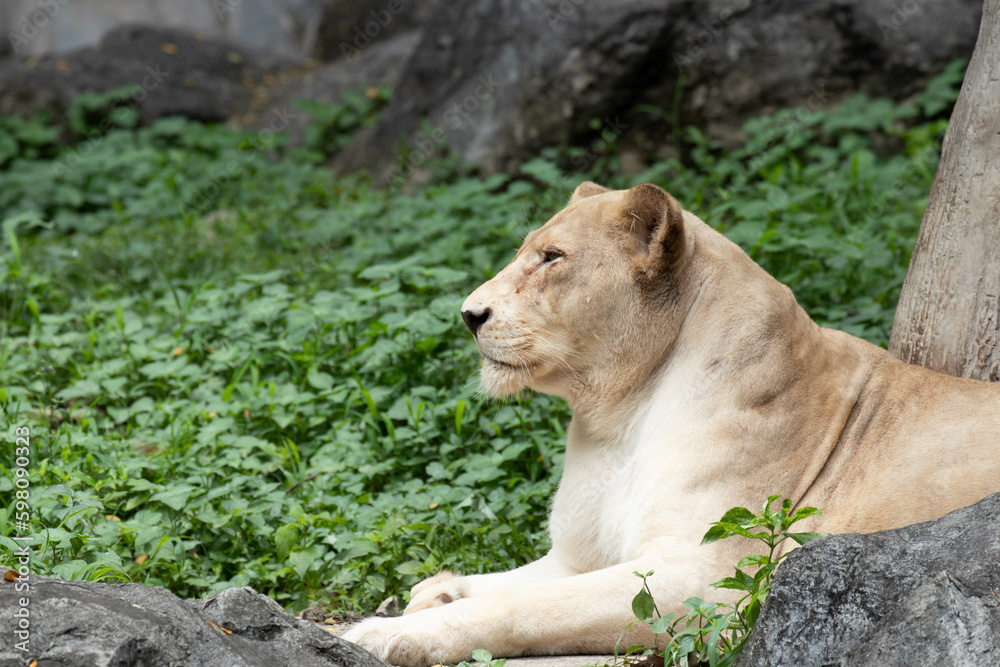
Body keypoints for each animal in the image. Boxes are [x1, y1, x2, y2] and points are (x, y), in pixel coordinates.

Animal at [343, 181, 1000, 666]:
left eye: (552, 258)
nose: (469, 315)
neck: (619, 418)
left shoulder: (712, 582)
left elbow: (529, 608)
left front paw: (382, 634)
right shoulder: (580, 555)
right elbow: (517, 582)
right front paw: (434, 590)